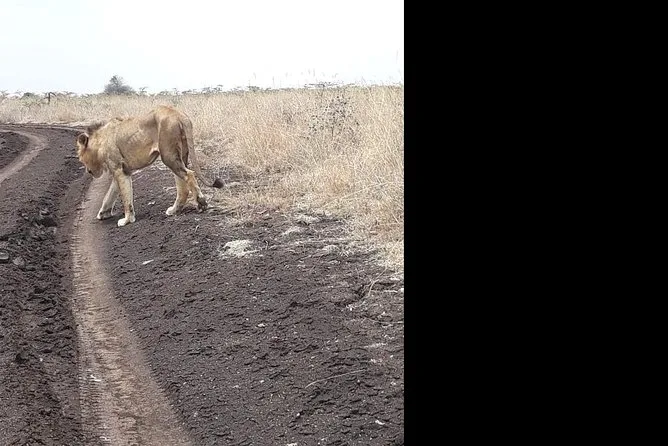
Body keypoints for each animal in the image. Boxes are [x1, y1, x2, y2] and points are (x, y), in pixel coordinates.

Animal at [75, 105, 224, 227]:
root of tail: (179, 114)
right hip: (180, 154)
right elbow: (111, 193)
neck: (99, 142)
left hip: (168, 155)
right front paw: (103, 213)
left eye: (81, 158)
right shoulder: (124, 170)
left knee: (189, 174)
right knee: (182, 184)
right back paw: (175, 210)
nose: (88, 171)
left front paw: (127, 220)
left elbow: (125, 197)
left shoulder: (118, 169)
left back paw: (201, 203)